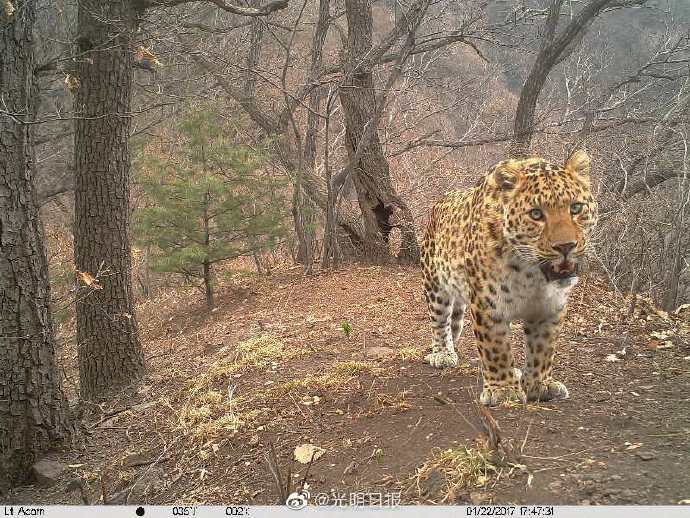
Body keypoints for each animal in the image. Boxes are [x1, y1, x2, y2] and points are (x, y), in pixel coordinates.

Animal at [420, 152, 596, 408]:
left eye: (576, 207)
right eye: (536, 214)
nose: (566, 247)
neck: (532, 275)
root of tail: (441, 200)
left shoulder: (551, 306)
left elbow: (543, 347)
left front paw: (538, 385)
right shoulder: (488, 304)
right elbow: (496, 347)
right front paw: (503, 390)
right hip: (434, 286)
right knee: (440, 323)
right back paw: (443, 354)